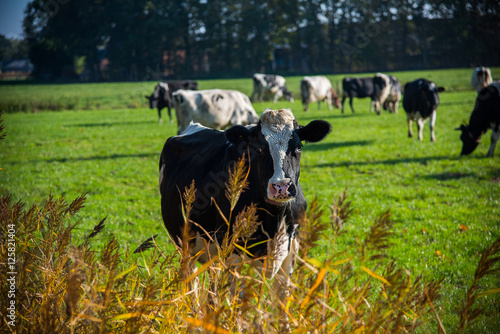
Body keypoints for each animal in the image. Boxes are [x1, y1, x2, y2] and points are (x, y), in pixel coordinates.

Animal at [160, 109, 332, 328]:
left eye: (298, 147)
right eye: (259, 148)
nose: (281, 187)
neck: (274, 219)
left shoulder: (291, 249)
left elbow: (282, 304)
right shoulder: (233, 254)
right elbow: (238, 304)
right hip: (184, 242)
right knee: (192, 282)